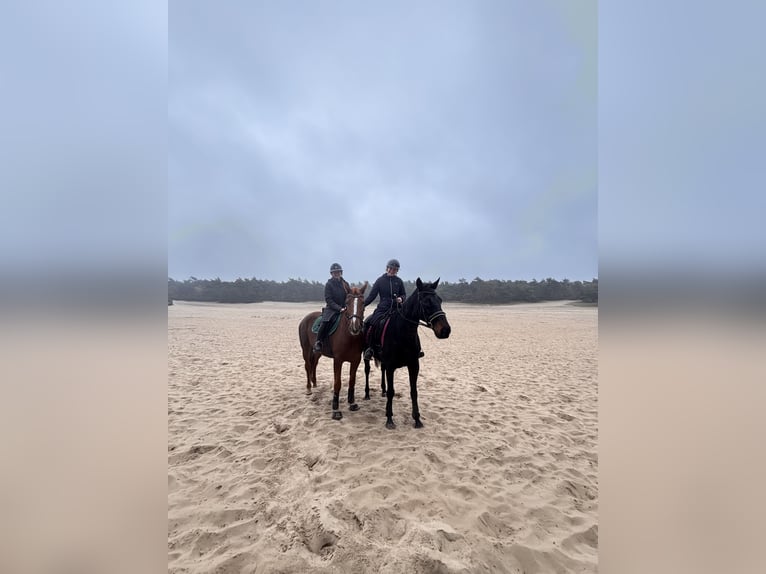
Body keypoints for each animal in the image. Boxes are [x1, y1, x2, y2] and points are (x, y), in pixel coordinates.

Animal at [298, 281, 369, 420]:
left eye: (363, 303)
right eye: (347, 303)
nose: (355, 327)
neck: (349, 336)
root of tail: (305, 319)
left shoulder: (356, 360)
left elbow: (352, 381)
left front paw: (352, 403)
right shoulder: (338, 360)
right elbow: (338, 383)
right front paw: (335, 409)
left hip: (317, 352)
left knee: (314, 364)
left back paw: (314, 383)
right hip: (306, 349)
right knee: (308, 366)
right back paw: (309, 388)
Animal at [363, 277, 451, 429]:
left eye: (439, 300)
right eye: (426, 302)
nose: (445, 330)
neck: (403, 332)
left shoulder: (413, 365)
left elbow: (413, 391)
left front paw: (417, 419)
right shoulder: (391, 367)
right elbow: (392, 392)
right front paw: (389, 419)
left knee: (382, 371)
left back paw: (382, 391)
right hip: (366, 357)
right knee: (367, 371)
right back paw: (367, 394)